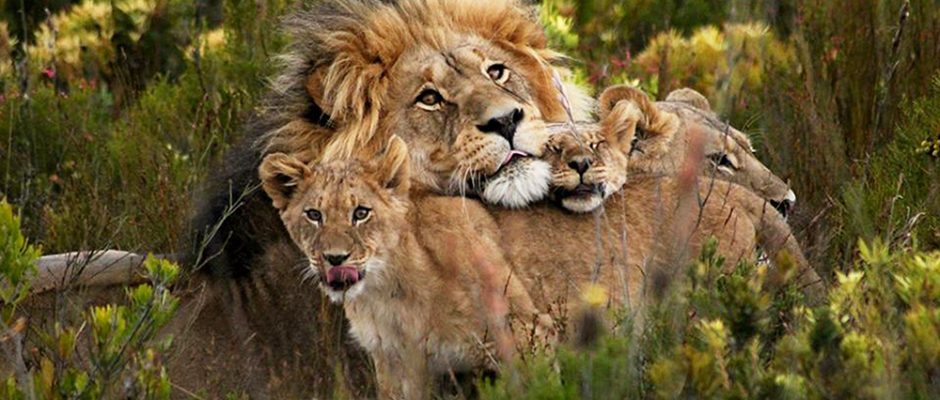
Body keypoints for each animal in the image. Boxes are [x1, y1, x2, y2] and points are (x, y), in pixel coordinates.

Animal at [259, 137, 550, 399]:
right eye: (314, 215)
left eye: (361, 213)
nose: (335, 258)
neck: (386, 293)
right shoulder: (395, 361)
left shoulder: (528, 330)